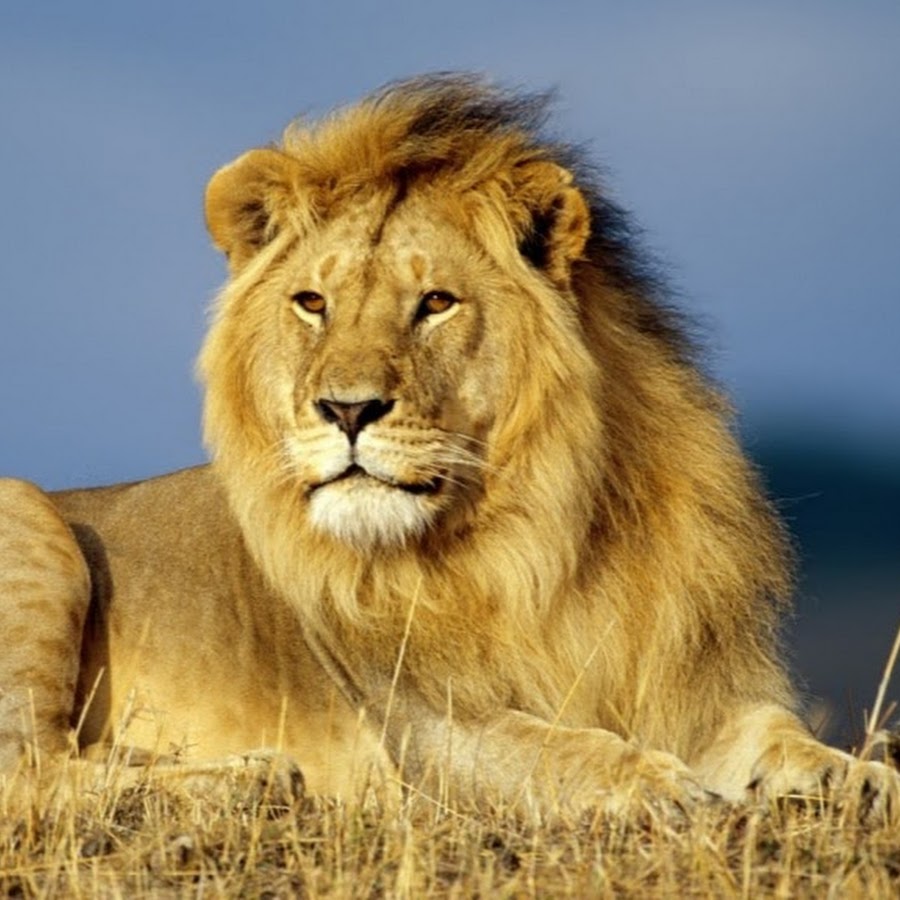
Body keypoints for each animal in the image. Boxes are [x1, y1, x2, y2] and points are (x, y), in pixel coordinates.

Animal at [0, 74, 897, 818]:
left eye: (435, 302)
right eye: (312, 303)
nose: (346, 408)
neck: (541, 533)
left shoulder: (689, 686)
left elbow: (777, 735)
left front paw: (857, 778)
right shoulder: (427, 730)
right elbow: (558, 751)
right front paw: (656, 785)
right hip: (29, 518)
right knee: (28, 772)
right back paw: (248, 778)